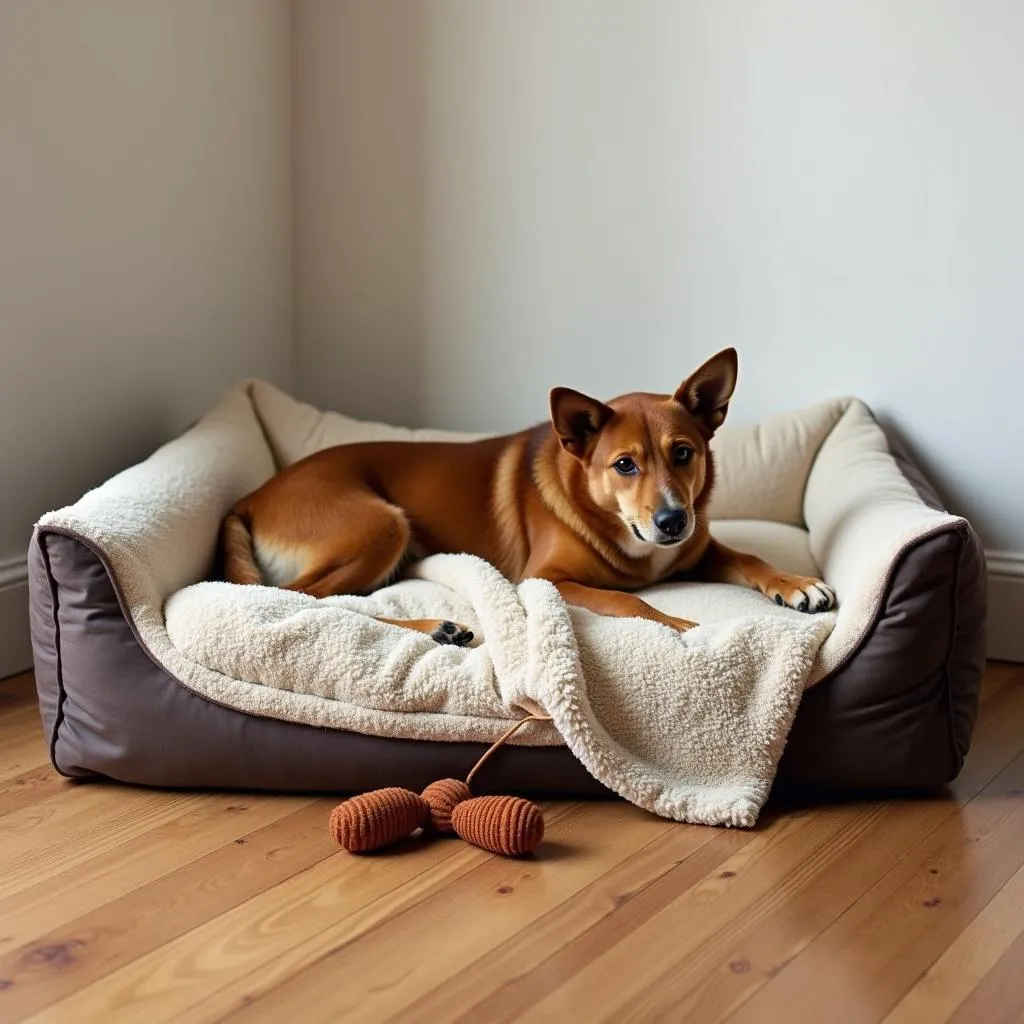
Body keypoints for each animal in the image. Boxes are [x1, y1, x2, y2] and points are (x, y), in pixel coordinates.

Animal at [220, 348, 835, 643]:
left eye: (683, 452)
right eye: (624, 465)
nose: (671, 521)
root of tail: (254, 494)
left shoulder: (700, 548)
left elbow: (750, 556)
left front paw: (796, 584)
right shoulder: (547, 578)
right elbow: (629, 602)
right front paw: (677, 624)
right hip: (382, 525)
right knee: (305, 600)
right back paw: (436, 627)